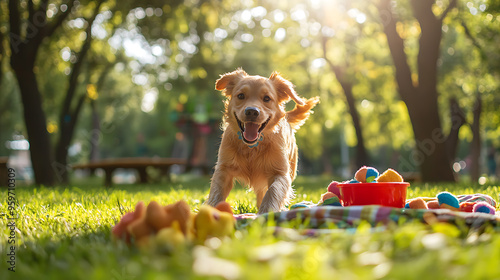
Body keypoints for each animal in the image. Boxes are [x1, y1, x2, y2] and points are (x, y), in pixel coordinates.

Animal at [207, 69, 320, 213]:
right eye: (241, 96)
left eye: (267, 98)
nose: (251, 112)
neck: (252, 147)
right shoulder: (223, 169)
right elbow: (217, 193)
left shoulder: (281, 173)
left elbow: (273, 191)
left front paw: (266, 212)